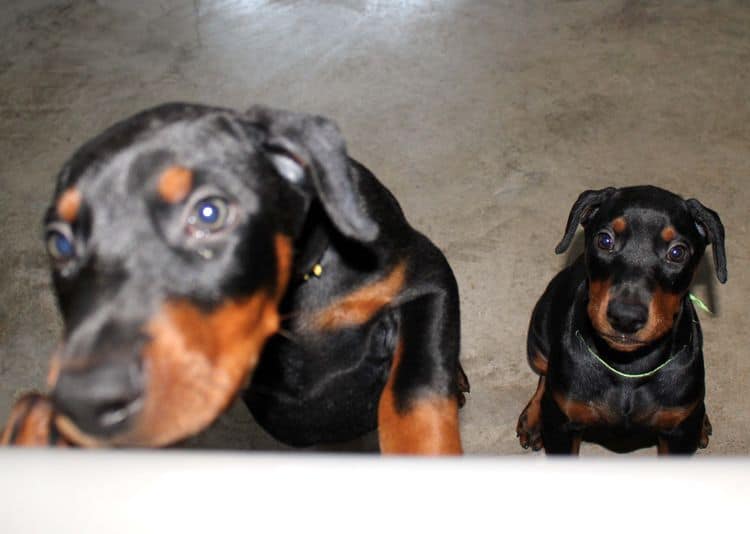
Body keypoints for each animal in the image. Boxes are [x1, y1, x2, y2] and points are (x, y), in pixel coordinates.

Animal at [1, 102, 470, 454]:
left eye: (209, 212)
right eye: (59, 244)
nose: (86, 399)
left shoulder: (426, 277)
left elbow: (414, 390)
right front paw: (35, 426)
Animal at [516, 186, 728, 454]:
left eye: (677, 252)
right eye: (605, 240)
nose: (626, 318)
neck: (628, 368)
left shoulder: (678, 432)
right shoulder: (563, 425)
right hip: (539, 335)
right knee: (545, 375)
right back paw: (533, 419)